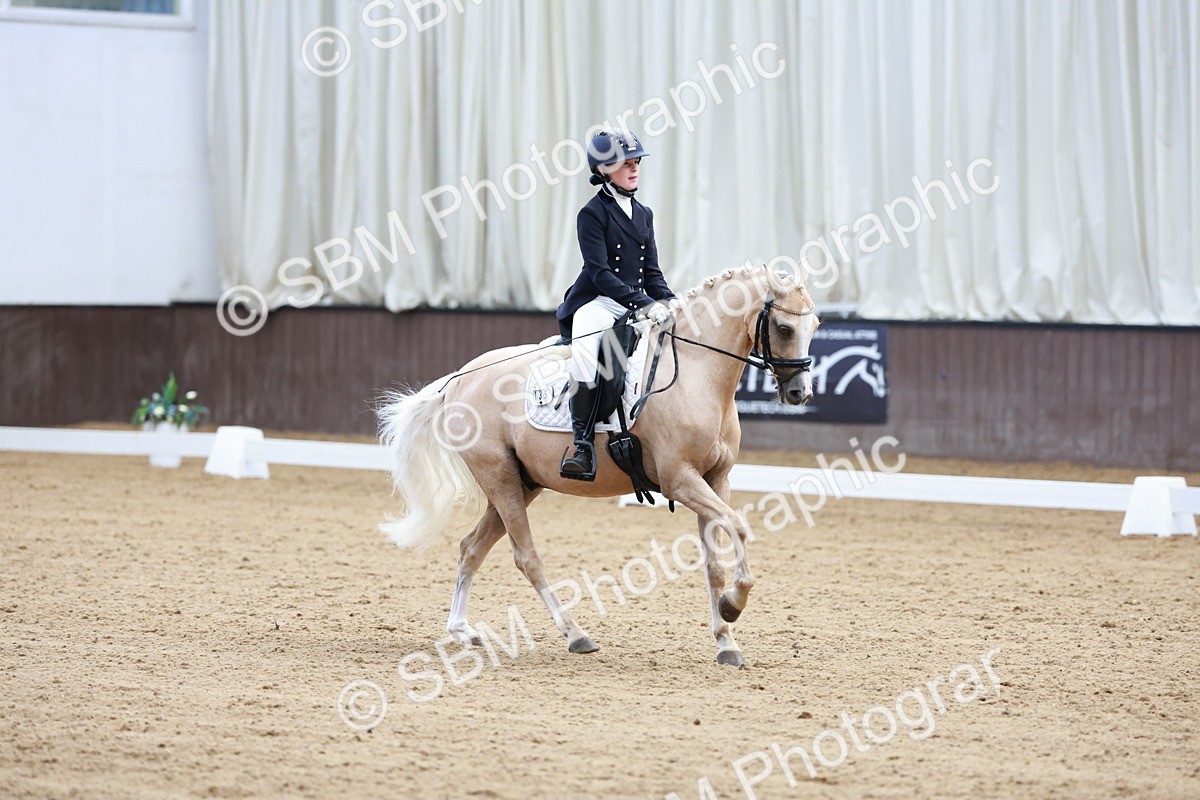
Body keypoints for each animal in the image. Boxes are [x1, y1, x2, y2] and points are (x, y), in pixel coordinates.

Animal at [377, 265, 820, 666]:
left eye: (815, 325)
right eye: (784, 328)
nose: (800, 393)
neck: (696, 373)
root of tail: (459, 379)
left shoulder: (716, 480)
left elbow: (714, 561)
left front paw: (726, 641)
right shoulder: (681, 481)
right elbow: (739, 527)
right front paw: (733, 605)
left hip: (522, 483)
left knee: (472, 548)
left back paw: (463, 631)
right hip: (498, 477)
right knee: (527, 557)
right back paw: (576, 634)